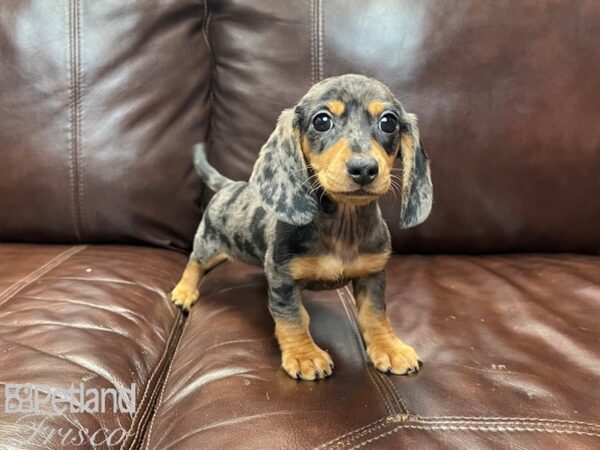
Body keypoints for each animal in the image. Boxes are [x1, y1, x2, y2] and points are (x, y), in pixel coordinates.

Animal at [170, 74, 432, 380]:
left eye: (388, 122)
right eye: (322, 121)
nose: (364, 169)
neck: (343, 225)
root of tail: (229, 186)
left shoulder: (372, 274)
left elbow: (375, 315)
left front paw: (389, 348)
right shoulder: (282, 279)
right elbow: (292, 318)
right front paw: (304, 354)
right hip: (208, 244)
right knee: (195, 263)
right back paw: (185, 291)